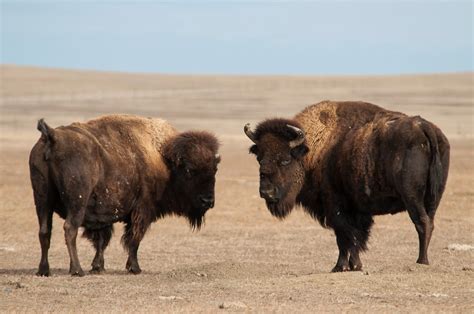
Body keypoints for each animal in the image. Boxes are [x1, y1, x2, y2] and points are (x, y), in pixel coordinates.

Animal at [29, 114, 220, 276]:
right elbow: (134, 239)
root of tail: (52, 135)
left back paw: (44, 270)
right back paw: (77, 270)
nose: (207, 200)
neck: (164, 159)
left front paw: (98, 267)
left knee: (44, 231)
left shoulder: (102, 215)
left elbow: (102, 241)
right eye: (189, 170)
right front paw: (134, 268)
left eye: (214, 170)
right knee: (70, 229)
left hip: (42, 201)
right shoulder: (142, 211)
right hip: (77, 203)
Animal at [246, 101, 450, 272]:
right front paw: (356, 266)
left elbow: (344, 237)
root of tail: (423, 127)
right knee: (430, 221)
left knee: (422, 223)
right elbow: (356, 237)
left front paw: (339, 267)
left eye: (286, 160)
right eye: (259, 158)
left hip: (412, 197)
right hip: (433, 198)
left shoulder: (336, 208)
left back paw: (421, 261)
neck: (311, 151)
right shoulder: (357, 210)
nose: (266, 192)